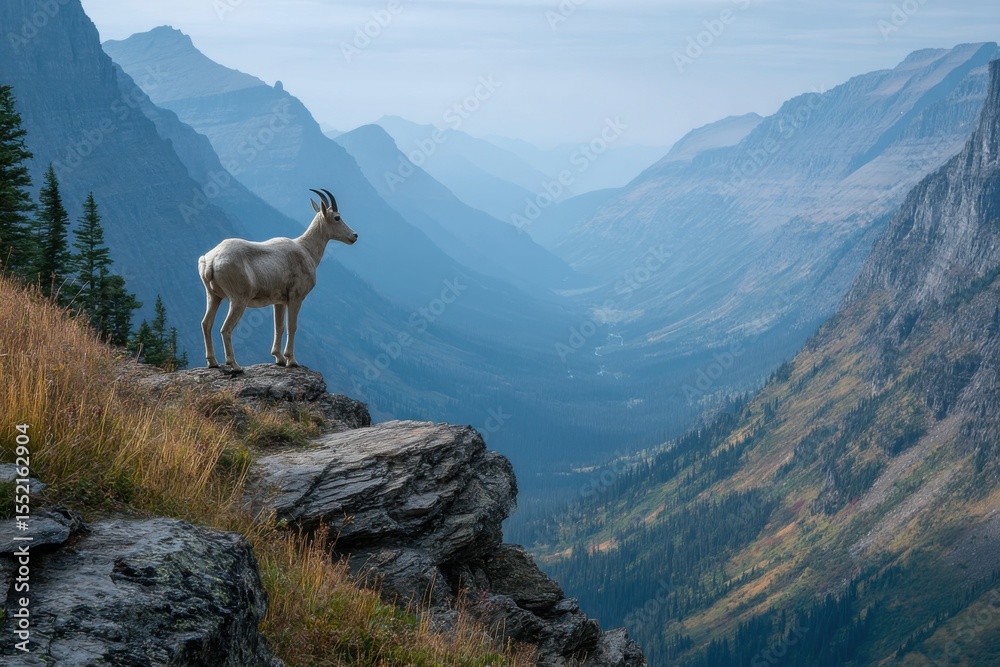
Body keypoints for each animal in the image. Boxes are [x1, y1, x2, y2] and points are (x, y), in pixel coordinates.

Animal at [198, 188, 358, 372]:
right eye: (337, 217)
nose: (354, 236)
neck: (307, 250)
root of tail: (211, 261)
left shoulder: (279, 301)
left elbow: (279, 327)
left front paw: (279, 358)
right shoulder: (296, 297)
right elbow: (292, 326)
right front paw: (291, 360)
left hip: (213, 296)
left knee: (206, 323)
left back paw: (212, 362)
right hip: (238, 299)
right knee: (226, 329)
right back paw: (235, 365)